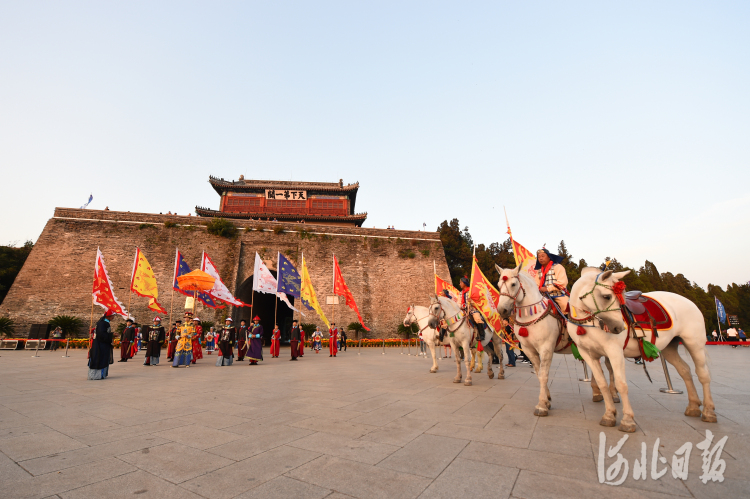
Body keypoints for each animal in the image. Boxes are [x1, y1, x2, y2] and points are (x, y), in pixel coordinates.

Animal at [572, 268, 720, 428]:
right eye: (607, 296)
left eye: (621, 300)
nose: (619, 328)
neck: (588, 323)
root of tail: (688, 300)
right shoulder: (587, 353)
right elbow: (602, 383)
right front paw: (609, 415)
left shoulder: (614, 351)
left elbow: (621, 384)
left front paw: (627, 419)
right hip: (669, 346)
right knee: (684, 370)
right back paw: (693, 406)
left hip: (694, 342)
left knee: (703, 374)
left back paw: (708, 411)